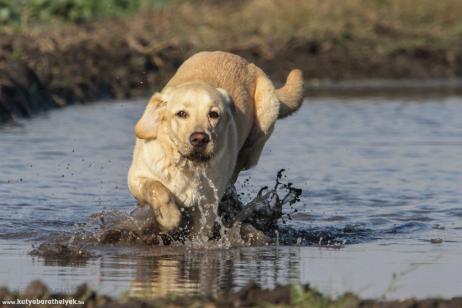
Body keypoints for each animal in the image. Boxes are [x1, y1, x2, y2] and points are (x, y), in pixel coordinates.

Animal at [128, 51, 304, 238]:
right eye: (181, 114)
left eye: (213, 114)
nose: (199, 138)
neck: (188, 166)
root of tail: (243, 61)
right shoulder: (136, 177)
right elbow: (158, 189)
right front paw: (168, 218)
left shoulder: (207, 207)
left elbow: (199, 234)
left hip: (261, 128)